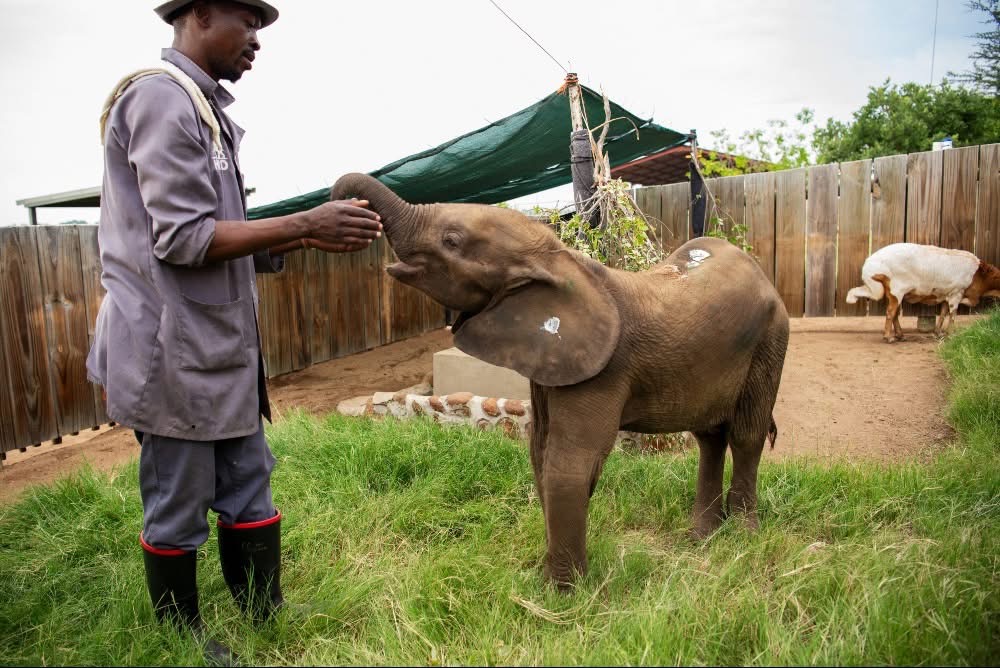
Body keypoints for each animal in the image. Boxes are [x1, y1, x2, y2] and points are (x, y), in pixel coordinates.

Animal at [330, 173, 790, 588]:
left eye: (452, 240)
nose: (351, 209)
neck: (561, 261)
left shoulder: (602, 369)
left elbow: (569, 463)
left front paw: (562, 597)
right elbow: (540, 453)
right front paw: (545, 578)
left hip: (772, 339)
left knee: (745, 435)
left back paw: (742, 537)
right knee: (709, 437)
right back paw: (700, 539)